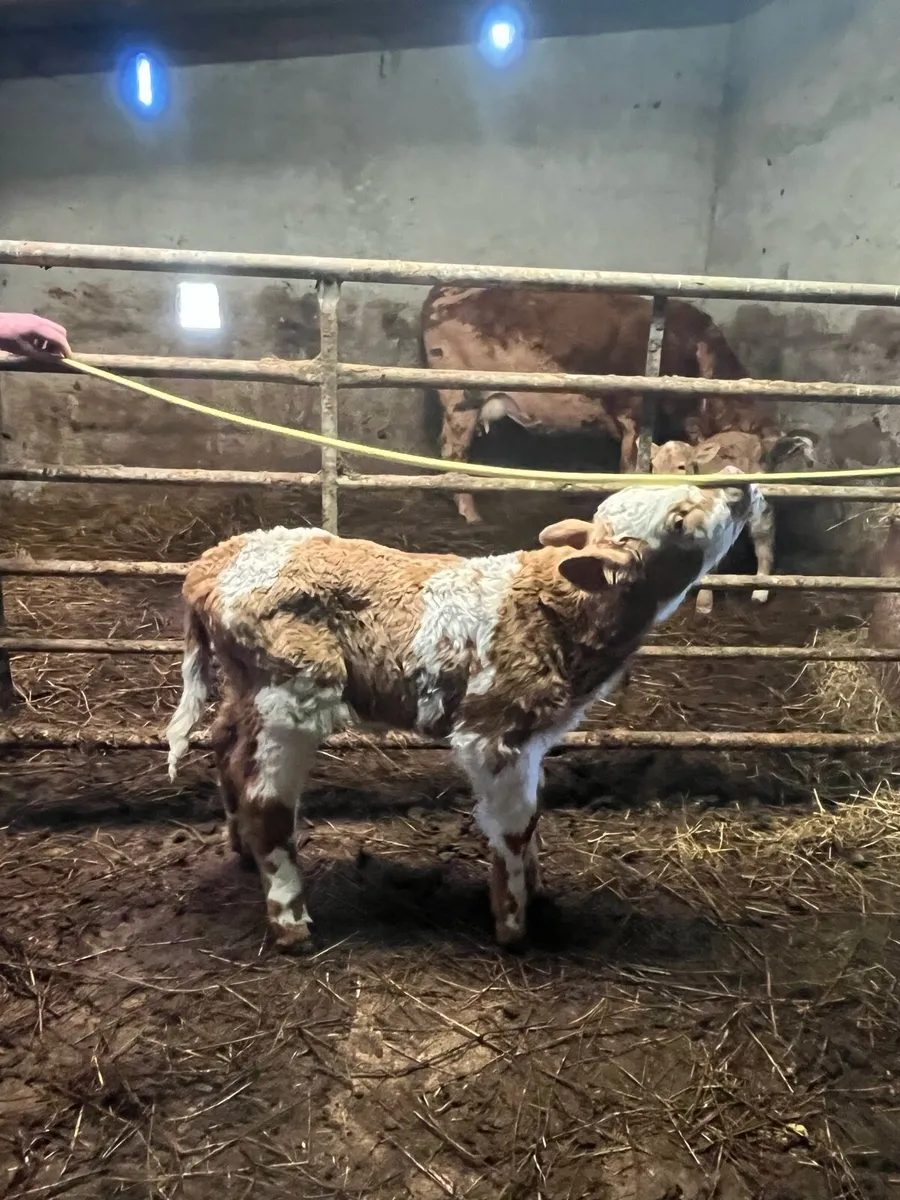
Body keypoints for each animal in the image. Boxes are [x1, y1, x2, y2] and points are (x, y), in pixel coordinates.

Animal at [166, 477, 759, 952]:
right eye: (679, 519)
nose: (738, 486)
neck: (556, 607)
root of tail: (211, 563)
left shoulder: (533, 738)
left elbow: (533, 818)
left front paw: (535, 889)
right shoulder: (494, 732)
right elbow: (514, 829)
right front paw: (514, 927)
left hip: (247, 688)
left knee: (225, 745)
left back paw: (243, 852)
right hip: (290, 694)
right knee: (265, 798)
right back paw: (290, 920)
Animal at [422, 286, 753, 524]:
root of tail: (440, 292)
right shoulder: (632, 417)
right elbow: (629, 469)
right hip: (461, 396)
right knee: (454, 451)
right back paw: (472, 515)